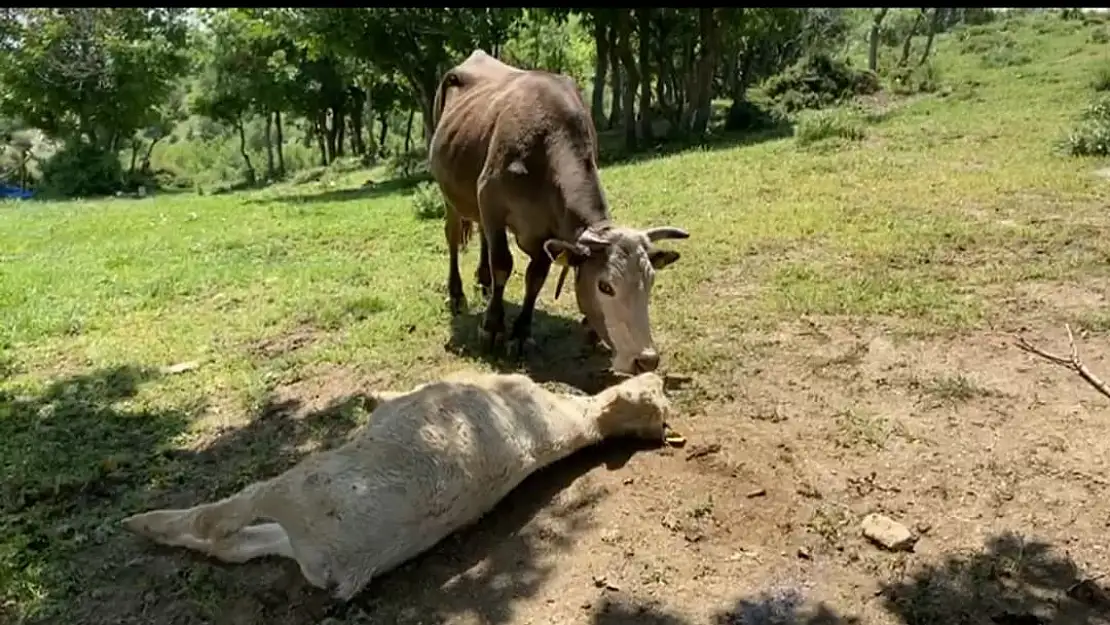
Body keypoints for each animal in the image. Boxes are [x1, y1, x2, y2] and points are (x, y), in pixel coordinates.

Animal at [123, 370, 674, 599]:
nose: (659, 376)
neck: (581, 421)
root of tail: (343, 563)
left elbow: (393, 395)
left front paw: (371, 395)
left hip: (298, 484)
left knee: (220, 521)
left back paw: (143, 521)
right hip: (300, 535)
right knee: (238, 545)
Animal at [428, 50, 688, 377]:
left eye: (650, 281)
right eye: (605, 286)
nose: (647, 359)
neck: (546, 147)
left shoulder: (547, 231)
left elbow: (535, 277)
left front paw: (521, 332)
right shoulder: (491, 199)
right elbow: (503, 264)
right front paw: (493, 327)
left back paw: (484, 281)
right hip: (450, 195)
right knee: (453, 238)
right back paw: (457, 293)